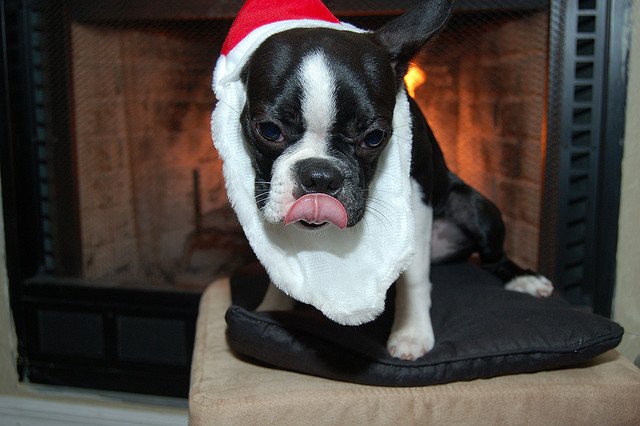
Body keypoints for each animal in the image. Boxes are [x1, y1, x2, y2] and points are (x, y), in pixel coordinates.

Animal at [232, 0, 552, 360]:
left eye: (374, 138)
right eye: (269, 130)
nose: (320, 176)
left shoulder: (417, 194)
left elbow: (414, 277)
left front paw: (412, 332)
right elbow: (280, 264)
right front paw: (273, 307)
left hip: (477, 209)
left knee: (492, 257)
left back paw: (522, 279)